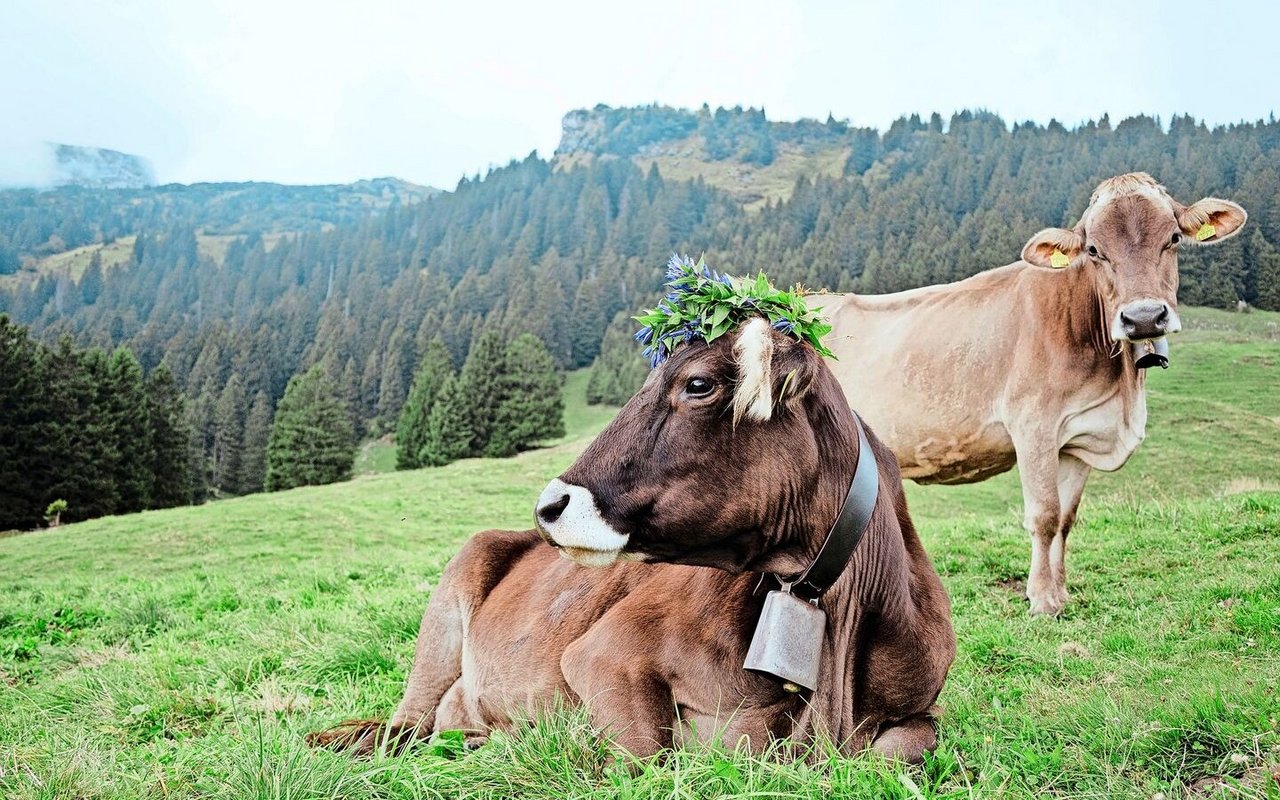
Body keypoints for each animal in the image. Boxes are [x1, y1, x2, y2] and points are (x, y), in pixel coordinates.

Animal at [309, 316, 952, 762]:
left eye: (698, 383)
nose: (549, 506)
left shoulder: (919, 707)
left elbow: (912, 743)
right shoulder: (602, 655)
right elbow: (647, 757)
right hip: (447, 611)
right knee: (402, 728)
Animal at [814, 172, 1244, 611]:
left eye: (1173, 238)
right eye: (1094, 250)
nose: (1142, 317)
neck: (1121, 391)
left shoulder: (1078, 437)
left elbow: (1066, 520)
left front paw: (1061, 591)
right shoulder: (1033, 426)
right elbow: (1045, 515)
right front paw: (1041, 599)